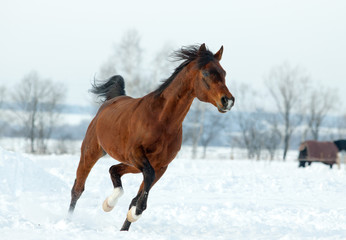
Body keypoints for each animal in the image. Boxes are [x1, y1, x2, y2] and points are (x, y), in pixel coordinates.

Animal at [67, 43, 235, 231]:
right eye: (206, 73)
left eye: (224, 73)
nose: (228, 101)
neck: (161, 121)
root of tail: (111, 101)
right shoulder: (137, 154)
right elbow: (148, 177)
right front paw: (132, 212)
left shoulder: (161, 165)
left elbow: (140, 192)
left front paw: (131, 217)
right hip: (92, 152)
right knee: (78, 188)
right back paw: (70, 220)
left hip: (131, 164)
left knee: (113, 169)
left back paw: (110, 206)